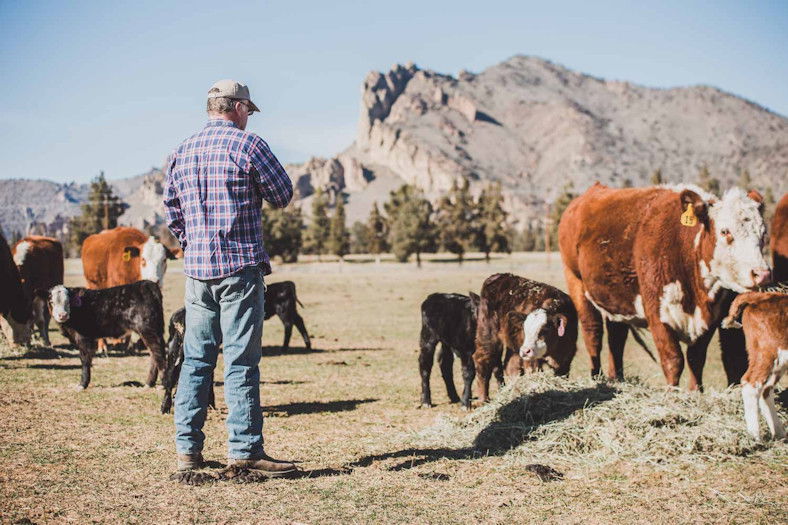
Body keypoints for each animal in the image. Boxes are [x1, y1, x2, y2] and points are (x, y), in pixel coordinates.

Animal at [474, 272, 580, 404]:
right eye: (524, 329)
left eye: (545, 330)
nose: (525, 351)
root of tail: (497, 276)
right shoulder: (531, 362)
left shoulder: (566, 359)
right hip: (488, 334)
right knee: (483, 359)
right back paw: (483, 399)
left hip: (514, 348)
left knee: (511, 366)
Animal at [560, 182, 768, 386]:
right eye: (725, 231)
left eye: (763, 232)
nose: (762, 274)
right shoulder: (656, 311)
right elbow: (673, 360)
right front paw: (672, 393)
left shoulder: (711, 317)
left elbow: (696, 358)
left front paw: (695, 392)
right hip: (575, 280)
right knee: (592, 332)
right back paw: (596, 376)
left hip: (615, 297)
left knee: (616, 336)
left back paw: (616, 377)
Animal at [728, 290, 788, 438]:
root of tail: (760, 296)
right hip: (766, 353)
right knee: (751, 383)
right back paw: (754, 436)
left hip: (777, 363)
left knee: (766, 390)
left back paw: (779, 433)